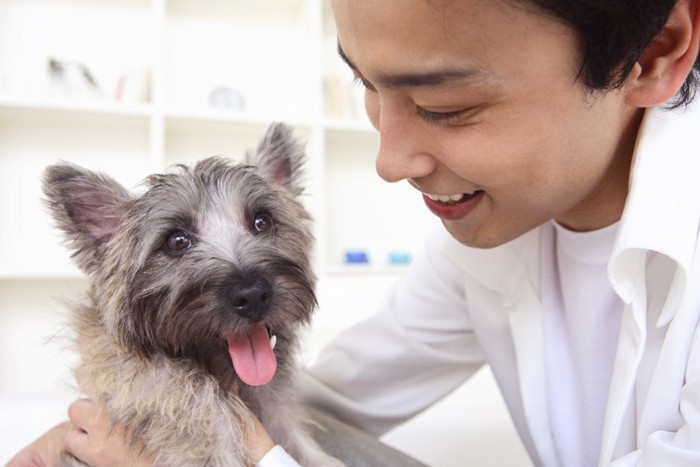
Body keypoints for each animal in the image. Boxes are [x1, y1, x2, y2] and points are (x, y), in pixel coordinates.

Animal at [42, 122, 344, 466]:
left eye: (261, 221)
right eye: (177, 241)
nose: (252, 295)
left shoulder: (273, 401)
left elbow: (290, 430)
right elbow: (194, 400)